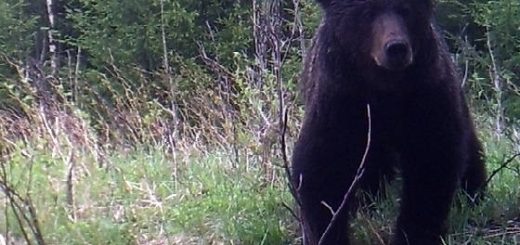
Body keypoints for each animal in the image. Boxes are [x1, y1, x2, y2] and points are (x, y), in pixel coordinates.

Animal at [290, 0, 486, 245]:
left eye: (406, 9)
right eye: (367, 12)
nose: (396, 48)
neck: (384, 89)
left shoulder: (426, 97)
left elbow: (431, 164)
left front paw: (414, 233)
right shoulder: (339, 103)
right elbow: (320, 169)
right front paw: (327, 232)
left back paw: (473, 193)